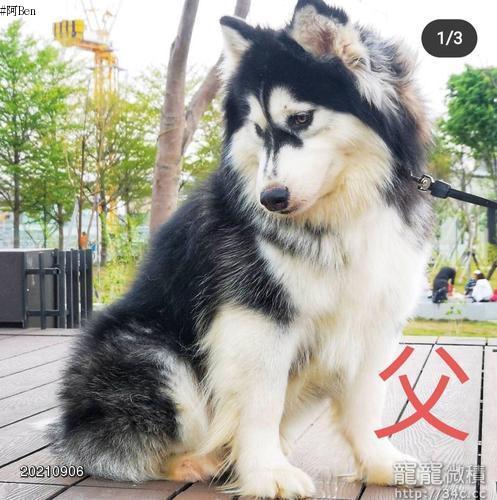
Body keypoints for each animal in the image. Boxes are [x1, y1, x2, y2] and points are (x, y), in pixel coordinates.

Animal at [50, 0, 433, 497]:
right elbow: (260, 404)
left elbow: (367, 401)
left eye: (301, 119)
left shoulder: (373, 317)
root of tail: (68, 426)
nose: (271, 199)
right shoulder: (257, 318)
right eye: (257, 128)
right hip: (154, 356)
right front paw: (267, 472)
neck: (341, 213)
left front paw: (380, 463)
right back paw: (194, 462)